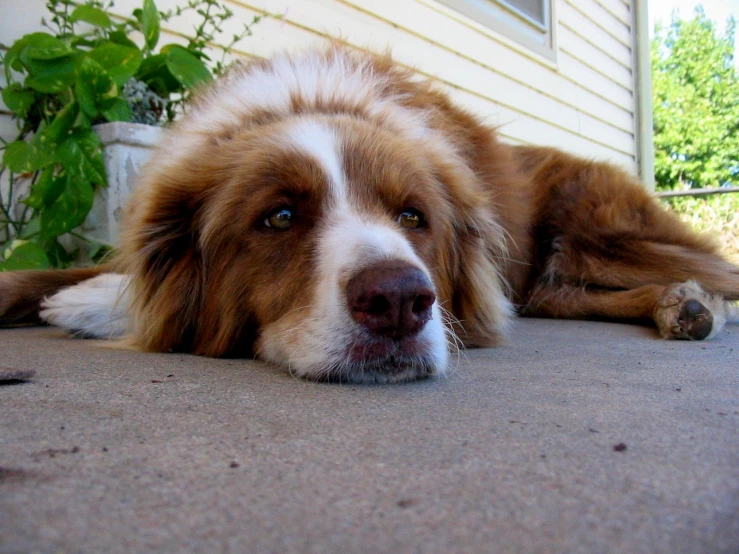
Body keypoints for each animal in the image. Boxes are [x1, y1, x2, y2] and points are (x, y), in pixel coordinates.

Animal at [1, 46, 739, 380]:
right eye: (278, 218)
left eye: (413, 217)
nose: (398, 302)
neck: (305, 98)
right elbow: (44, 275)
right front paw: (61, 295)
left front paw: (88, 305)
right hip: (554, 281)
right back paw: (685, 306)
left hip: (597, 239)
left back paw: (699, 302)